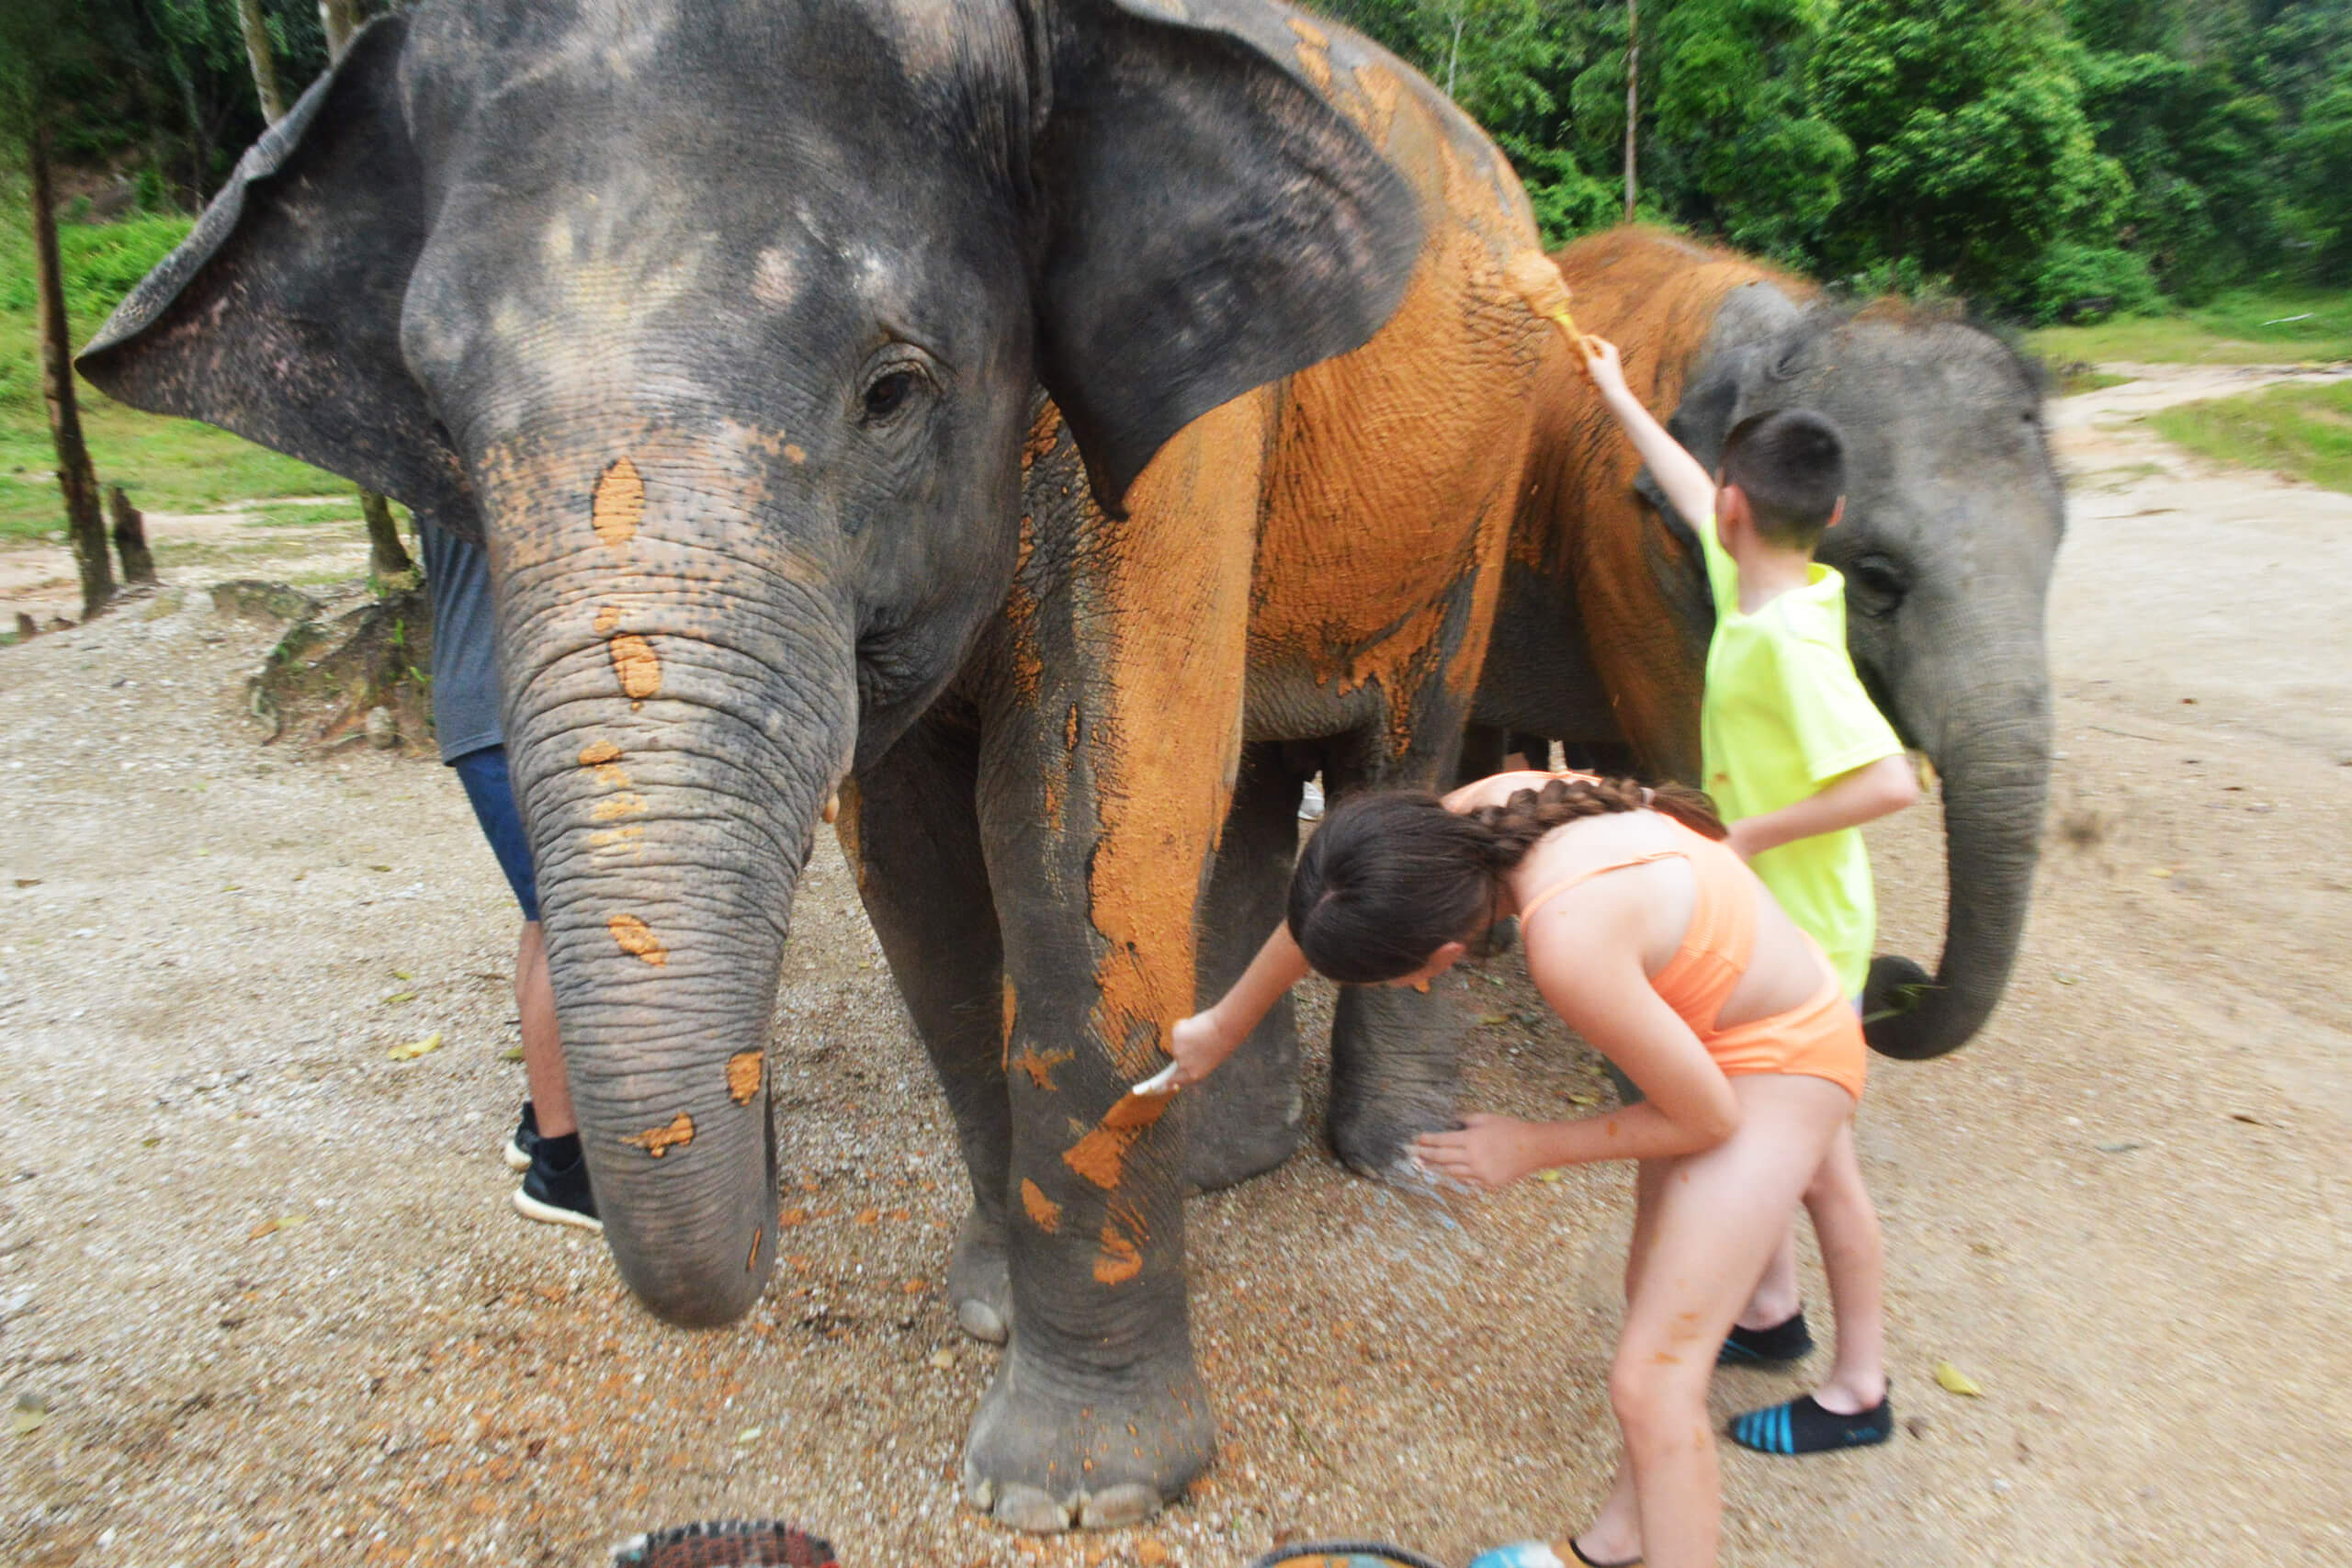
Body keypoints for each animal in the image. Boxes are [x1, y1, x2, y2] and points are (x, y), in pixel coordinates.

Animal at [78, 0, 1555, 1530]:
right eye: (437, 420)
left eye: (892, 392)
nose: (764, 1181)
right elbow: (917, 870)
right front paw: (986, 1312)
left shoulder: (1180, 442)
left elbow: (1090, 821)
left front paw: (1074, 1490)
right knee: (1261, 791)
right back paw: (1221, 1165)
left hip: (1489, 471)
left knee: (1398, 750)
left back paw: (1400, 1165)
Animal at [1470, 226, 2063, 1059]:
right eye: (1877, 577)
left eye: (2056, 557)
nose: (1898, 979)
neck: (1788, 334)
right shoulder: (1629, 550)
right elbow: (1690, 763)